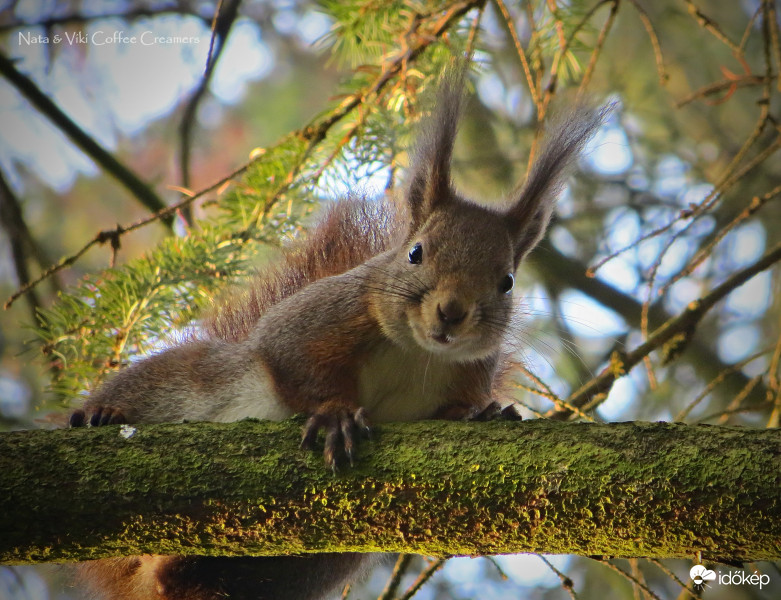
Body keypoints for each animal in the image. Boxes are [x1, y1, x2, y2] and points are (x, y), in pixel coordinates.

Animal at [68, 71, 604, 600]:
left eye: (507, 281)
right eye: (415, 253)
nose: (452, 312)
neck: (418, 354)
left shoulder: (468, 373)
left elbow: (457, 410)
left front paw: (485, 413)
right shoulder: (320, 316)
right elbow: (290, 358)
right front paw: (335, 414)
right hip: (184, 385)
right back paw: (101, 413)